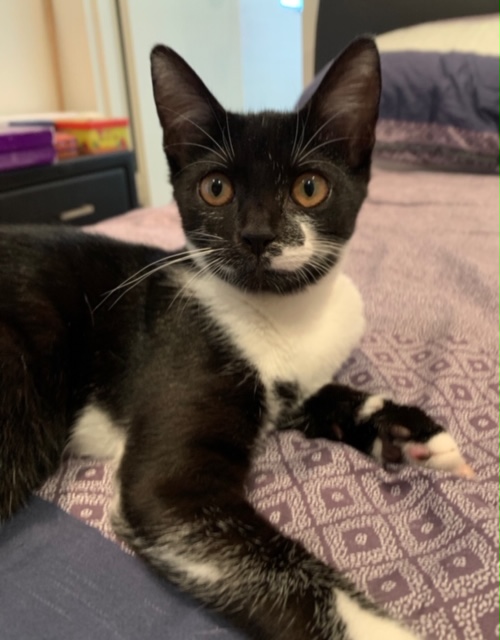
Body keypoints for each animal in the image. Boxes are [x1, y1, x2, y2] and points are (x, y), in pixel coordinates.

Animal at [0, 37, 473, 640]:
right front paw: (380, 628)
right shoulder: (173, 482)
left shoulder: (301, 378)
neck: (285, 316)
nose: (256, 235)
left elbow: (328, 394)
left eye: (309, 188)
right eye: (216, 188)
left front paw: (407, 430)